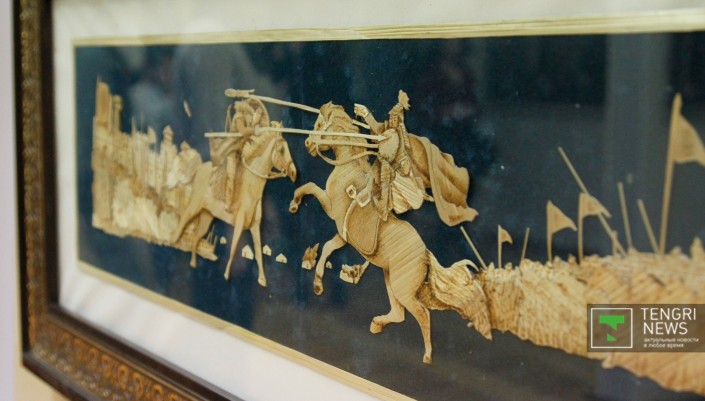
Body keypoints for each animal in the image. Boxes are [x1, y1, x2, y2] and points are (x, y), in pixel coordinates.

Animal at [171, 130, 296, 287]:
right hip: (194, 206)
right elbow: (234, 247)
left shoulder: (255, 227)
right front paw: (226, 275)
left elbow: (258, 252)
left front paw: (262, 279)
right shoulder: (239, 224)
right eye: (281, 150)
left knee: (196, 237)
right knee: (183, 220)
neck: (251, 189)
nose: (294, 173)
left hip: (207, 216)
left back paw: (193, 263)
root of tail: (201, 168)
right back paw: (173, 241)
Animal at [288, 103, 491, 364]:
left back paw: (427, 355)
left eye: (320, 124)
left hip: (401, 287)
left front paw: (294, 204)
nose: (308, 145)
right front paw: (317, 284)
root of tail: (425, 255)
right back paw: (376, 324)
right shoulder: (342, 235)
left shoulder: (331, 208)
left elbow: (309, 187)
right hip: (390, 279)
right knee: (399, 314)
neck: (347, 169)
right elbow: (326, 248)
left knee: (422, 313)